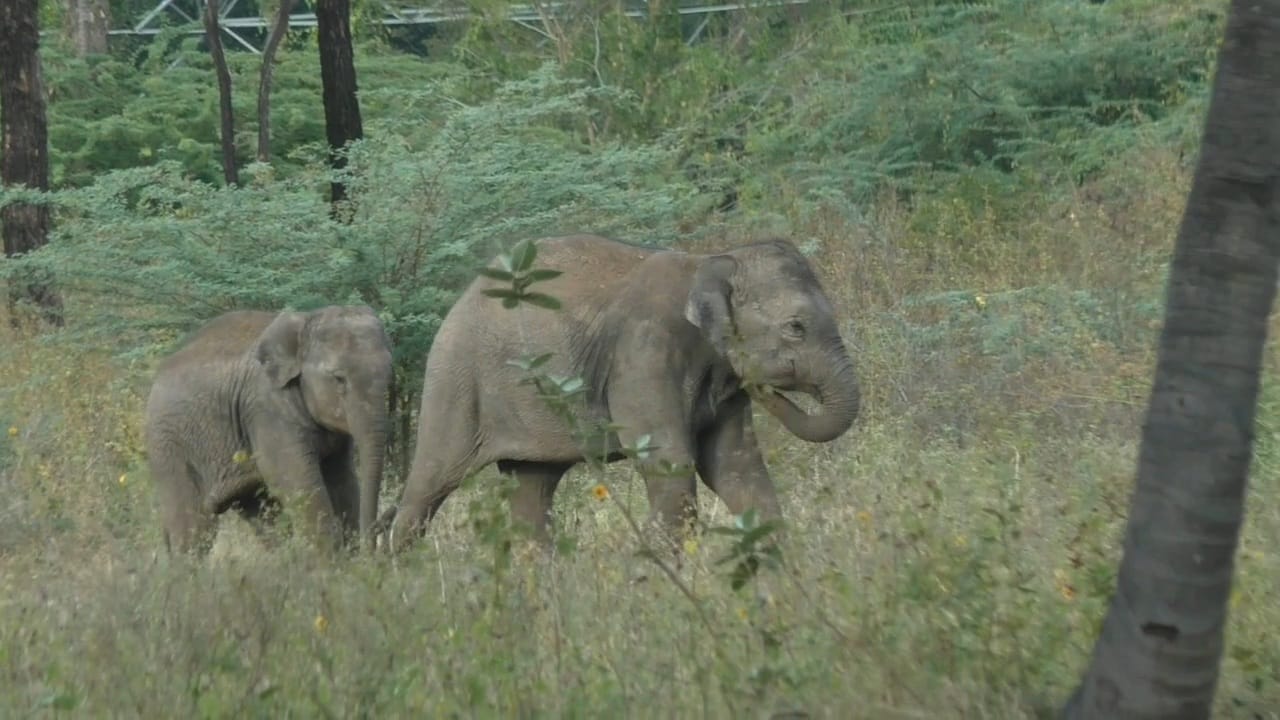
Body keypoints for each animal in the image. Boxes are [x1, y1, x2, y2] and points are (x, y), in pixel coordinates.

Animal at [144, 304, 389, 550]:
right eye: (339, 379)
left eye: (391, 375)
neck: (305, 323)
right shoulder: (267, 407)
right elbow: (293, 477)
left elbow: (342, 479)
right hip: (169, 446)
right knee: (194, 530)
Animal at [381, 235, 860, 548]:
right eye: (795, 327)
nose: (765, 389)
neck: (709, 262)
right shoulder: (642, 353)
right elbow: (671, 466)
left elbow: (736, 468)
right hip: (455, 380)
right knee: (431, 481)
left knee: (532, 489)